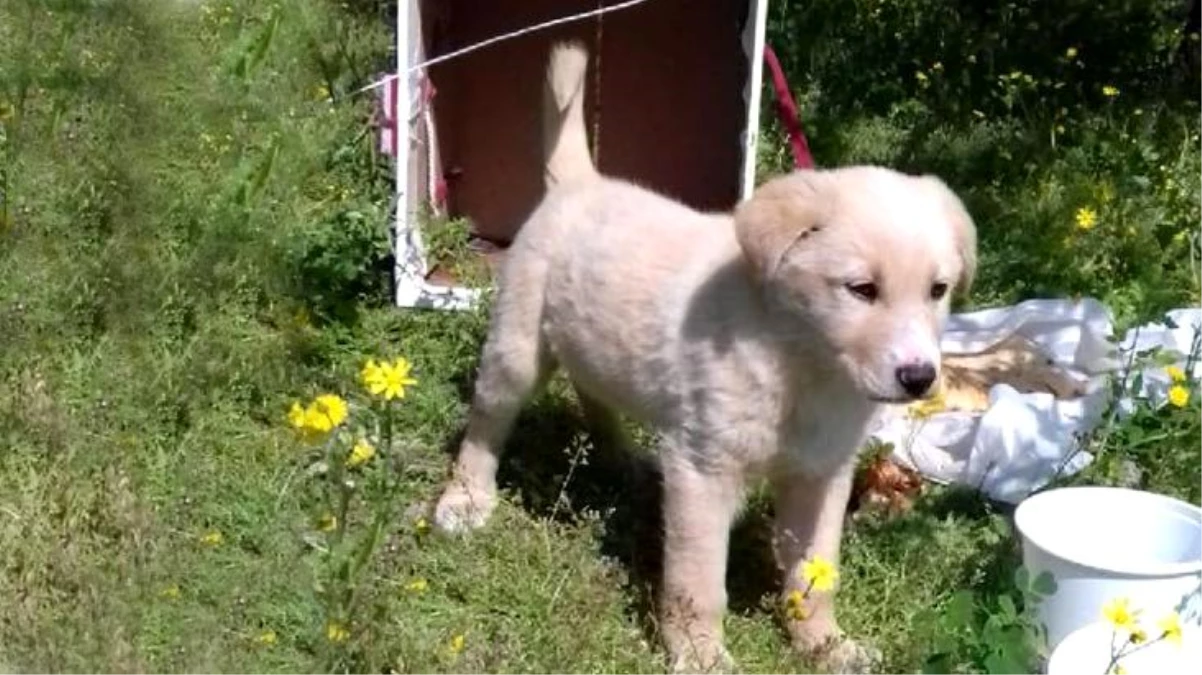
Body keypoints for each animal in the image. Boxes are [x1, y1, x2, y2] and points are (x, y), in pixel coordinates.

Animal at [432, 43, 976, 672]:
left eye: (937, 290)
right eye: (861, 290)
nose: (919, 378)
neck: (801, 364)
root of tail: (582, 184)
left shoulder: (821, 474)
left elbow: (816, 574)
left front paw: (824, 644)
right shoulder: (703, 471)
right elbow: (699, 583)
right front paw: (701, 655)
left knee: (594, 391)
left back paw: (619, 457)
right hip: (517, 347)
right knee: (486, 425)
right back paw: (466, 500)